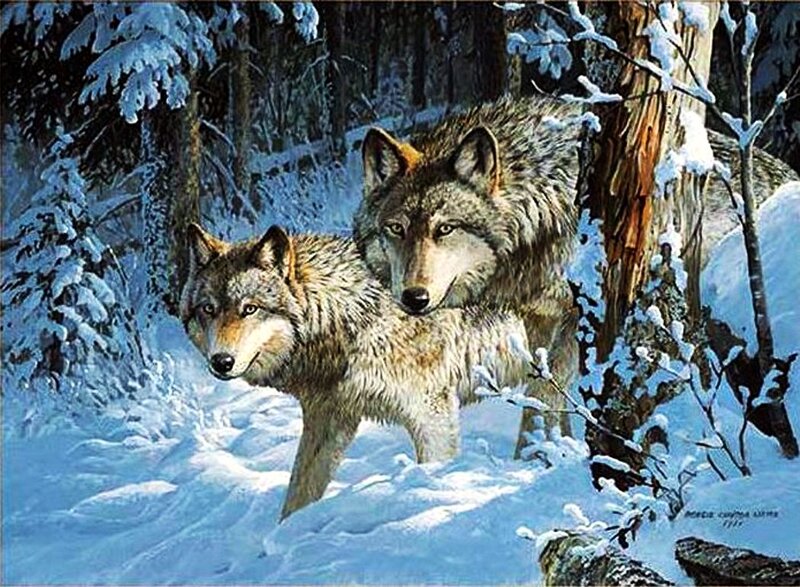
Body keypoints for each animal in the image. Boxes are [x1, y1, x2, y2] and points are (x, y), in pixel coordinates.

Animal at [180, 223, 529, 519]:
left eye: (250, 308)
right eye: (209, 309)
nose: (221, 361)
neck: (352, 317)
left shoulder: (433, 416)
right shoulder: (329, 420)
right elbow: (298, 496)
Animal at [353, 95, 798, 455]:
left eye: (444, 229)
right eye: (396, 229)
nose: (414, 298)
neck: (538, 208)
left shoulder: (575, 315)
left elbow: (541, 397)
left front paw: (535, 461)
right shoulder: (538, 319)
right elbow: (551, 394)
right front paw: (561, 450)